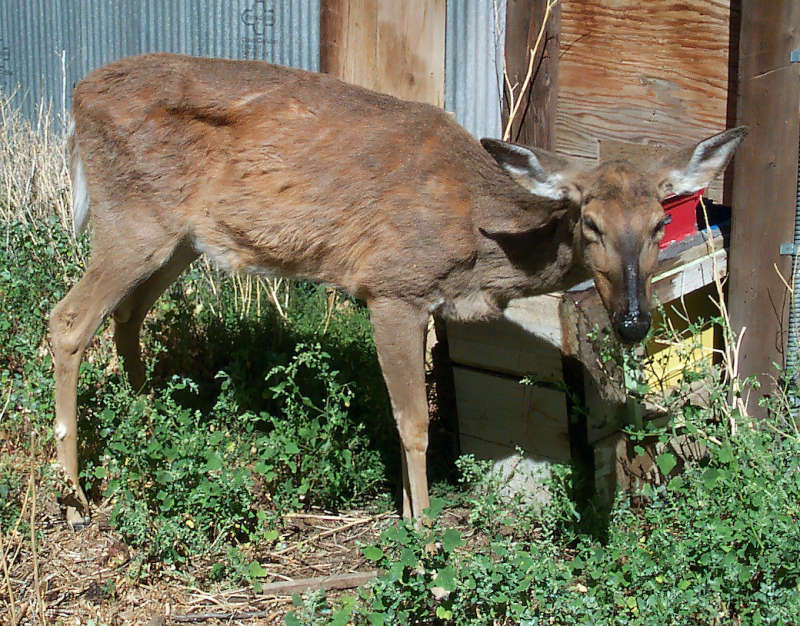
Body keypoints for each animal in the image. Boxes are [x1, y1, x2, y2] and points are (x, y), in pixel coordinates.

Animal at [51, 53, 752, 524]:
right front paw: (422, 526)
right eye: (590, 222)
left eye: (660, 224)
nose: (633, 321)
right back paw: (79, 495)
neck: (479, 242)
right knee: (67, 321)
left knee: (126, 318)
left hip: (181, 239)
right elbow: (412, 421)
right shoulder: (391, 287)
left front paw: (416, 513)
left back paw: (152, 425)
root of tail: (76, 99)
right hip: (133, 220)